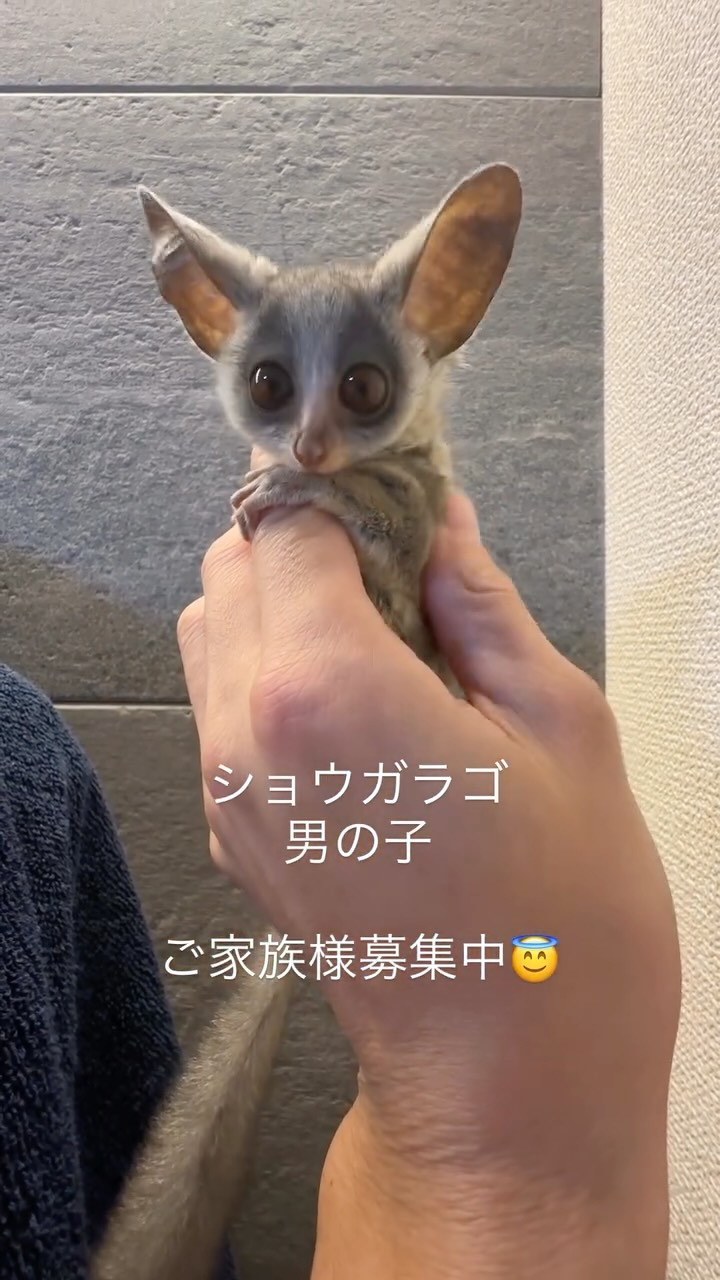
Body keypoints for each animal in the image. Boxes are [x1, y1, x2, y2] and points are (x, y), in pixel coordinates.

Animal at [91, 162, 522, 1280]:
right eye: (270, 386)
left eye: (363, 388)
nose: (311, 443)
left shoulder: (416, 520)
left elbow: (378, 532)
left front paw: (299, 489)